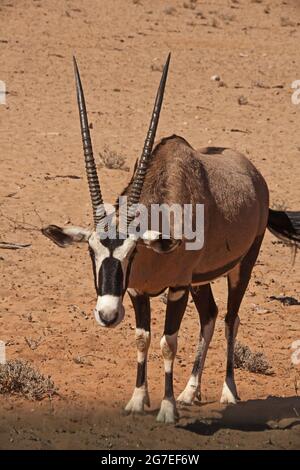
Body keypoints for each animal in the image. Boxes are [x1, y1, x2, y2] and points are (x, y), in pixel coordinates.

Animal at [42, 54, 300, 422]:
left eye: (132, 252)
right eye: (91, 251)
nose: (107, 315)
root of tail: (254, 174)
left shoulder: (177, 288)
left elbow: (168, 342)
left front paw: (166, 409)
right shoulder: (139, 291)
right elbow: (143, 338)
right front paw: (138, 400)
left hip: (241, 266)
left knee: (230, 319)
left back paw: (228, 392)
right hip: (200, 280)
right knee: (209, 315)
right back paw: (190, 392)